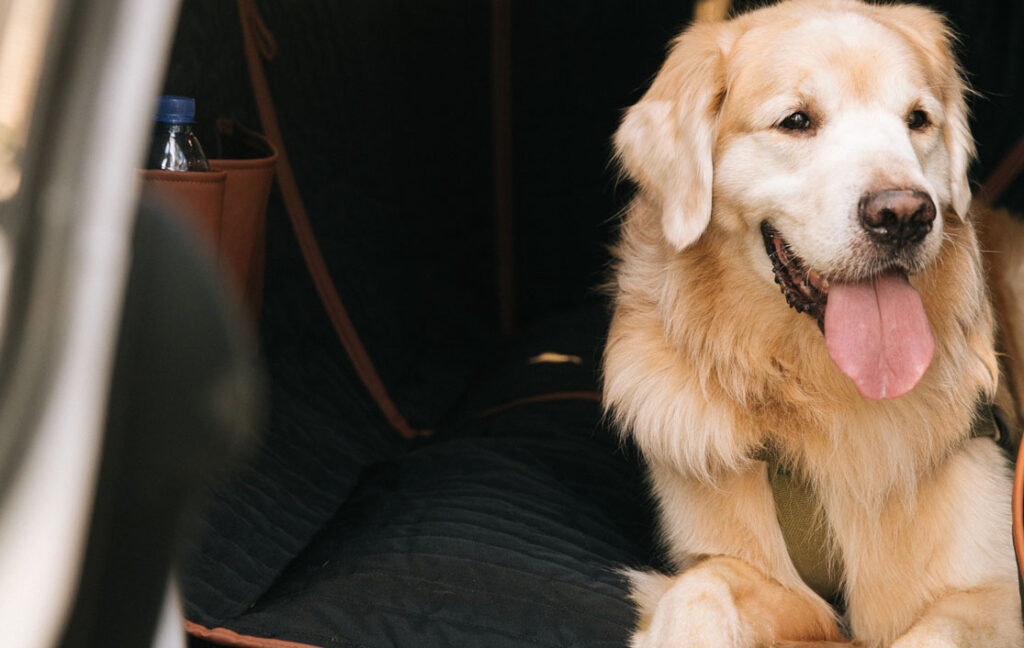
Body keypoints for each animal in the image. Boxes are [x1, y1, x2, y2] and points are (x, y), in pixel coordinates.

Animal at [598, 2, 1024, 642]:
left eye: (918, 120)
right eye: (796, 121)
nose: (904, 215)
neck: (820, 387)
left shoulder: (992, 593)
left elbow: (933, 631)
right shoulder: (753, 571)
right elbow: (701, 589)